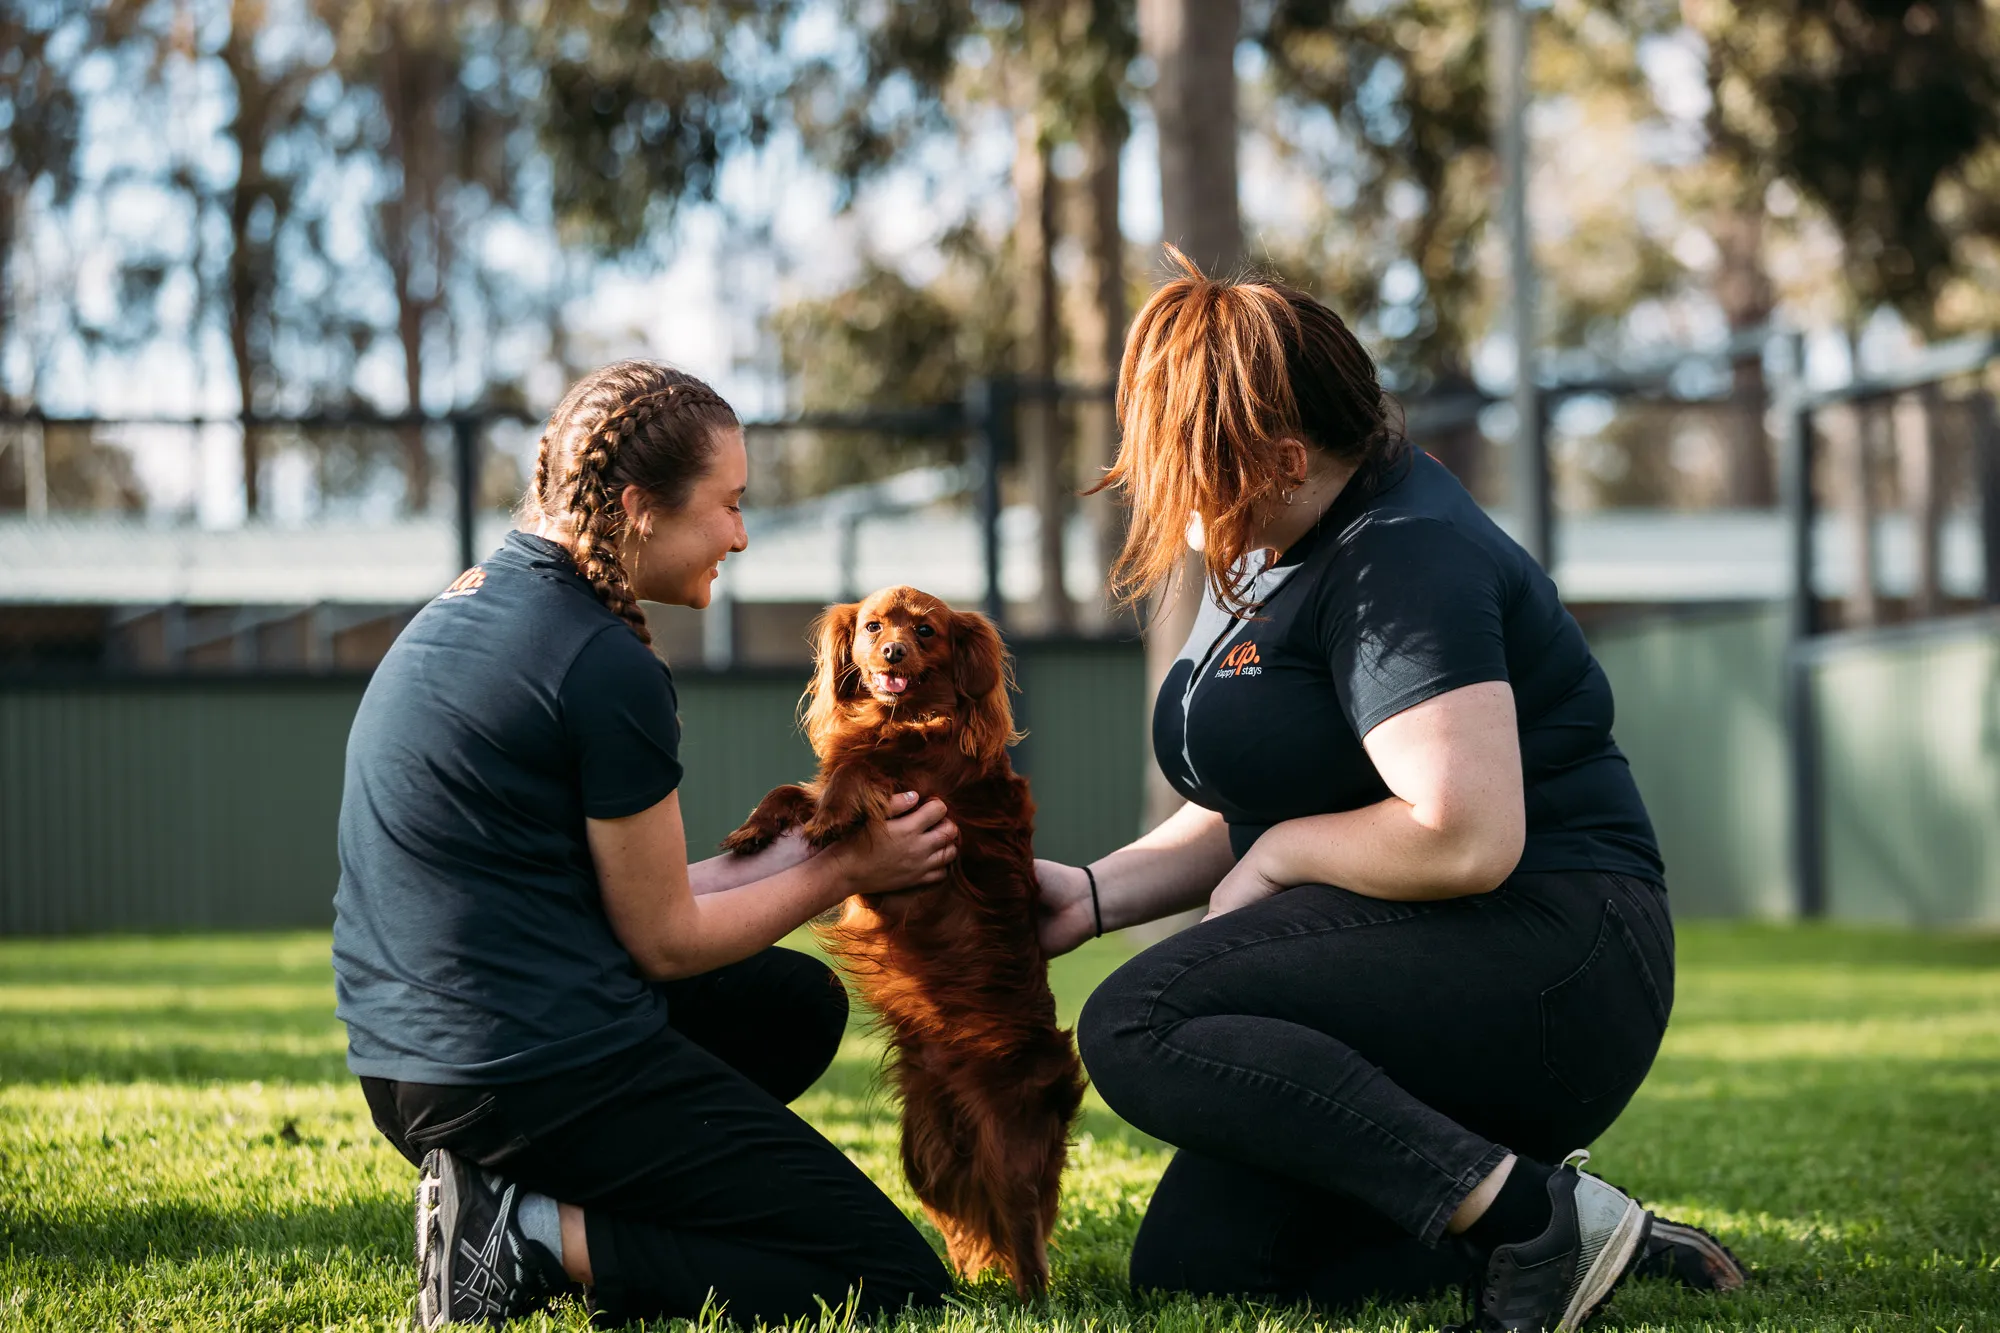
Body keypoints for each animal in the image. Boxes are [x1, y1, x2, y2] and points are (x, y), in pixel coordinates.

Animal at [724, 580, 1088, 1288]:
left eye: (925, 632)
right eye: (872, 627)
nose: (891, 651)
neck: (900, 722)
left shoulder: (920, 838)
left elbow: (853, 778)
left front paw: (832, 816)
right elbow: (794, 789)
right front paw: (756, 829)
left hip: (1008, 1147)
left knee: (1026, 1237)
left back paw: (1032, 1299)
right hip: (926, 1156)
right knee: (967, 1229)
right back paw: (968, 1294)